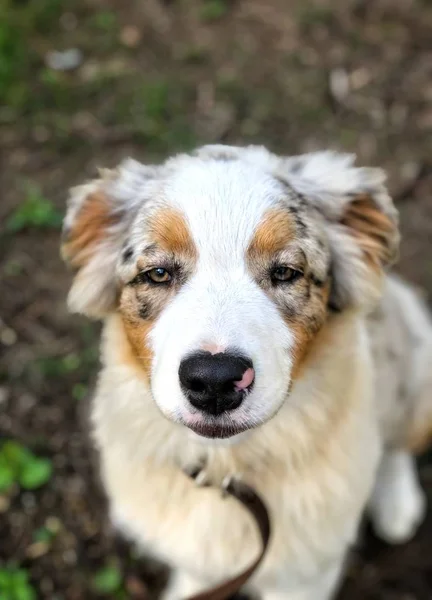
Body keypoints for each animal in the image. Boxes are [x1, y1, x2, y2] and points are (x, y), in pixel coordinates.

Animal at [60, 145, 432, 600]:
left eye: (286, 272)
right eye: (158, 273)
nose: (214, 380)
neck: (227, 466)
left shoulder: (304, 574)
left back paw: (398, 503)